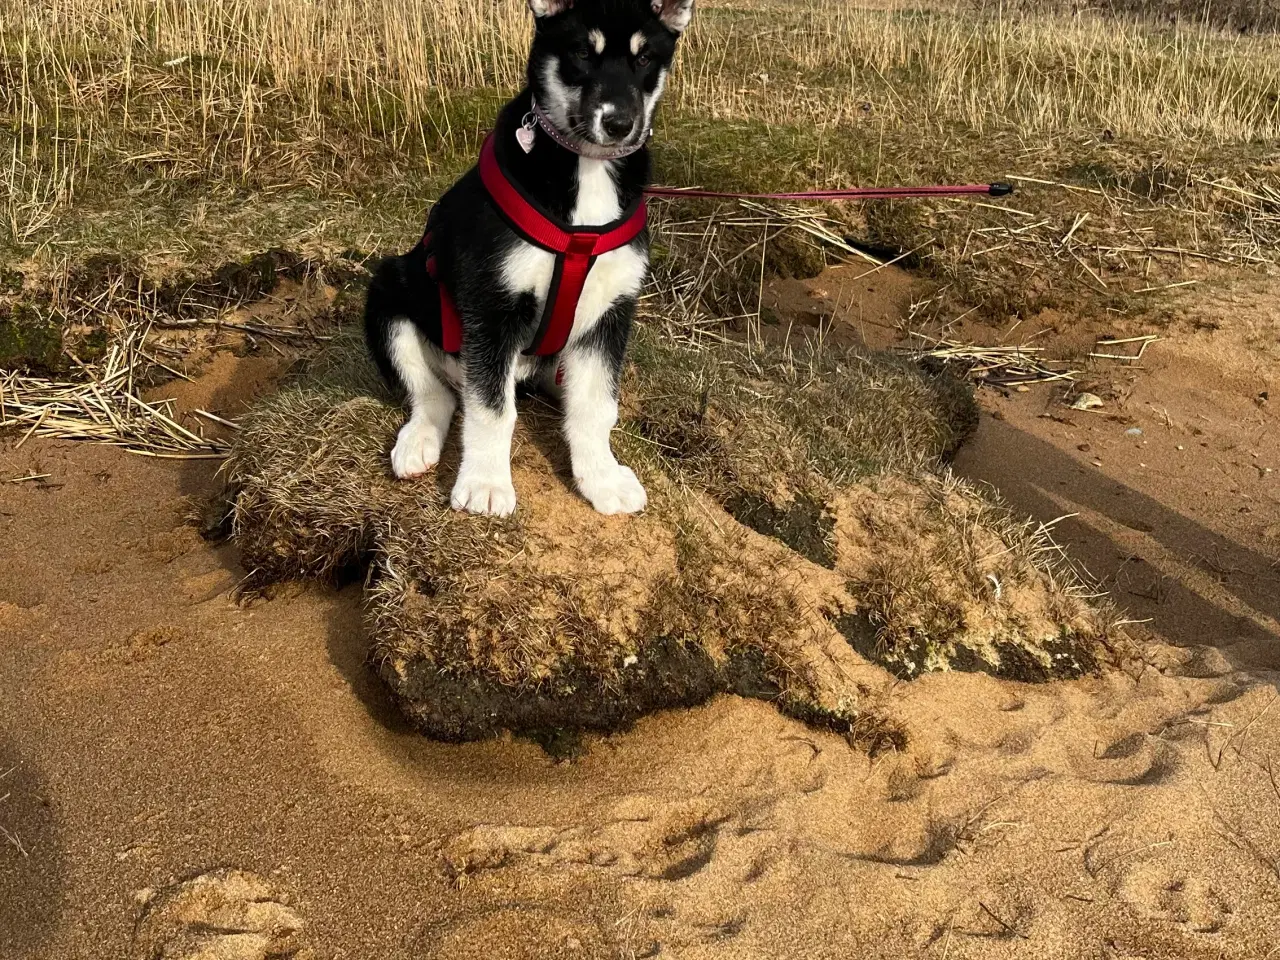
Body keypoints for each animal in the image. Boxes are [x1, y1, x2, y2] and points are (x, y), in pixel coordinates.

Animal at [366, 0, 696, 519]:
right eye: (582, 51)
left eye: (644, 58)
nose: (620, 125)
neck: (587, 170)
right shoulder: (492, 307)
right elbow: (491, 409)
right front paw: (485, 483)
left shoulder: (611, 312)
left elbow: (597, 406)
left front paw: (601, 478)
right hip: (391, 292)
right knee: (437, 393)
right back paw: (418, 441)